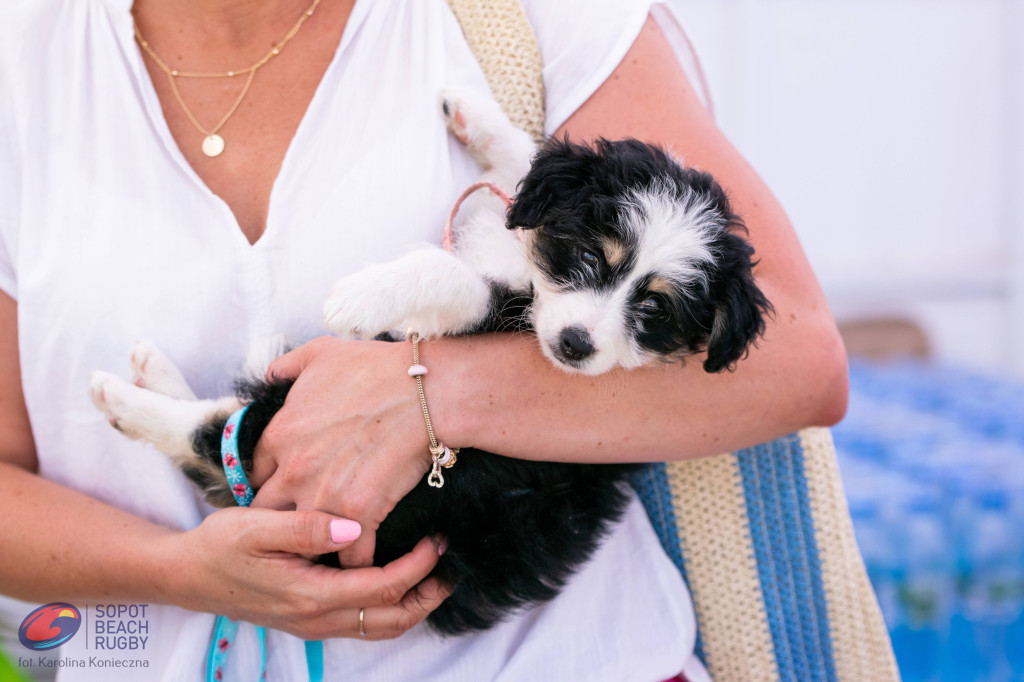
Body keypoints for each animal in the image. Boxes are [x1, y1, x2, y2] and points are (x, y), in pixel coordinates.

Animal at [92, 90, 770, 630]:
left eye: (655, 309)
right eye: (588, 255)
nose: (576, 347)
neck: (529, 285)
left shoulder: (491, 317)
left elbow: (447, 273)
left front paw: (359, 296)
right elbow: (529, 171)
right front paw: (475, 116)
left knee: (217, 438)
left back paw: (122, 396)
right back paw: (160, 370)